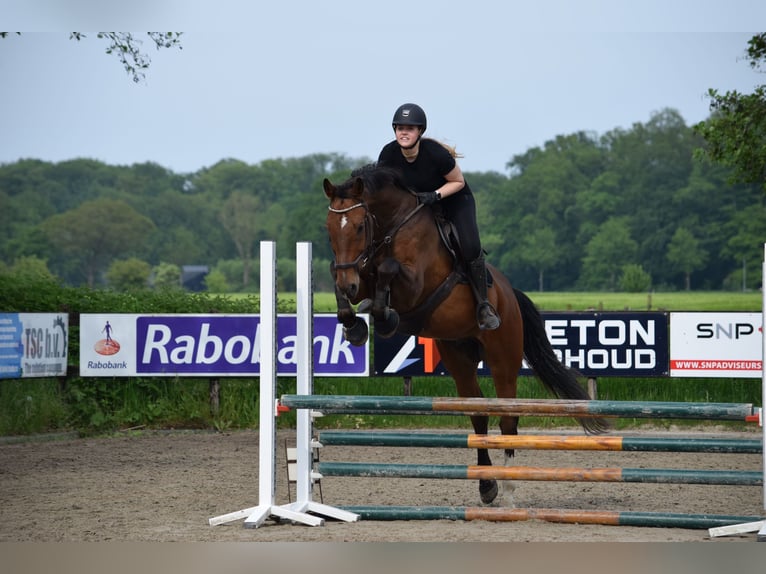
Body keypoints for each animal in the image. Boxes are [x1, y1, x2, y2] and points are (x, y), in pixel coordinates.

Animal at [322, 164, 608, 505]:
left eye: (358, 227)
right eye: (329, 229)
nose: (349, 284)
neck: (392, 226)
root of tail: (510, 295)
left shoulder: (415, 285)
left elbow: (389, 269)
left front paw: (384, 317)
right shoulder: (360, 273)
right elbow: (342, 280)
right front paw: (355, 324)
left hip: (503, 357)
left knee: (507, 418)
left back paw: (508, 490)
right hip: (458, 355)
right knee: (478, 414)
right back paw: (487, 485)